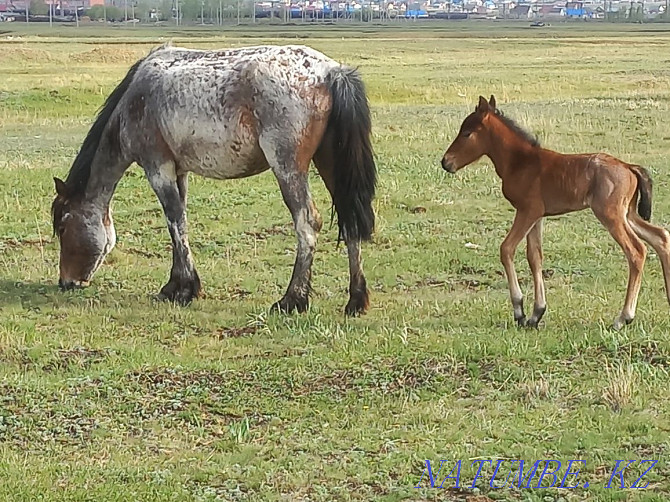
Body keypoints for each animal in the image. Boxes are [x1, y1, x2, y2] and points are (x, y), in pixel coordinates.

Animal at [52, 45, 378, 316]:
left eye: (63, 226)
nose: (66, 282)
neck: (136, 100)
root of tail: (331, 72)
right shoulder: (179, 172)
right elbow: (178, 223)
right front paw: (174, 286)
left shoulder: (158, 168)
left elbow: (175, 221)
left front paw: (186, 289)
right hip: (332, 164)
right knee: (350, 221)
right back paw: (355, 300)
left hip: (288, 168)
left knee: (307, 223)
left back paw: (292, 300)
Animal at [440, 95, 670, 330]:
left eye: (467, 133)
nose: (446, 162)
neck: (521, 162)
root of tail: (629, 167)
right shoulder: (537, 216)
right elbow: (535, 256)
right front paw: (536, 314)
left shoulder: (527, 211)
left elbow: (507, 249)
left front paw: (519, 311)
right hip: (628, 214)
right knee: (660, 236)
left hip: (611, 215)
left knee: (637, 251)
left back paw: (623, 317)